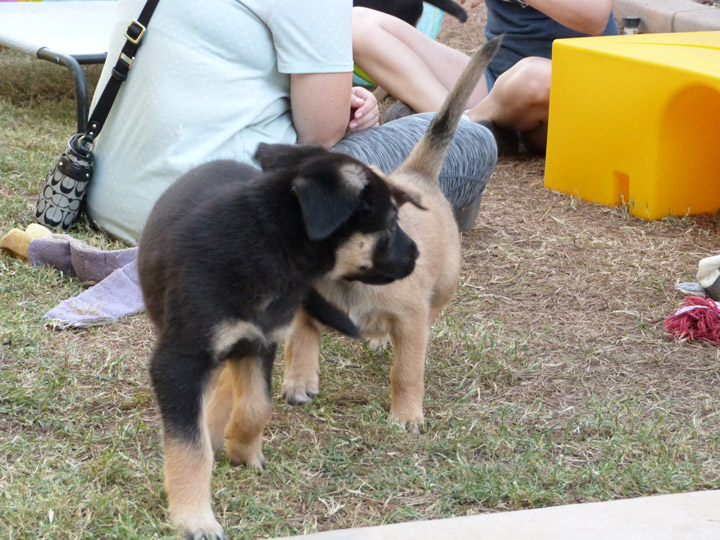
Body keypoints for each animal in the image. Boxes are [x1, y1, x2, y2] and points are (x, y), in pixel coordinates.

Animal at [138, 149, 424, 540]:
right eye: (391, 222)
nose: (417, 253)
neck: (266, 246)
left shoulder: (260, 342)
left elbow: (257, 405)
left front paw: (241, 448)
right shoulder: (179, 361)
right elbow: (190, 447)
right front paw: (194, 518)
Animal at [282, 37, 500, 430]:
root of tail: (417, 175)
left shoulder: (410, 319)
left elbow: (406, 371)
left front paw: (406, 414)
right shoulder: (306, 305)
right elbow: (299, 341)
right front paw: (299, 382)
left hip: (444, 284)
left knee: (431, 315)